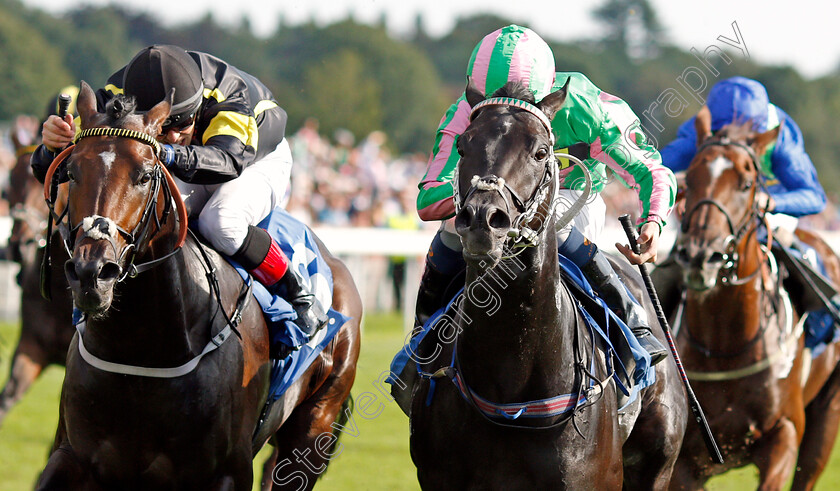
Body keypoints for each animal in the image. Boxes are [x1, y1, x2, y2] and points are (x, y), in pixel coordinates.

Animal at [34, 82, 360, 490]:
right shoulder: (73, 456)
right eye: (72, 171)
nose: (92, 272)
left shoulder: (228, 472)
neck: (140, 354)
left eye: (145, 174)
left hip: (315, 429)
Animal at [406, 80, 688, 488]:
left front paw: (649, 233)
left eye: (541, 152)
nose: (482, 220)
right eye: (462, 146)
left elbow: (646, 164)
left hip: (659, 461)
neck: (512, 391)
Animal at [668, 109, 840, 490]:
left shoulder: (785, 433)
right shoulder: (688, 462)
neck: (726, 344)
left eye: (746, 185)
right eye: (690, 178)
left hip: (827, 417)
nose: (701, 256)